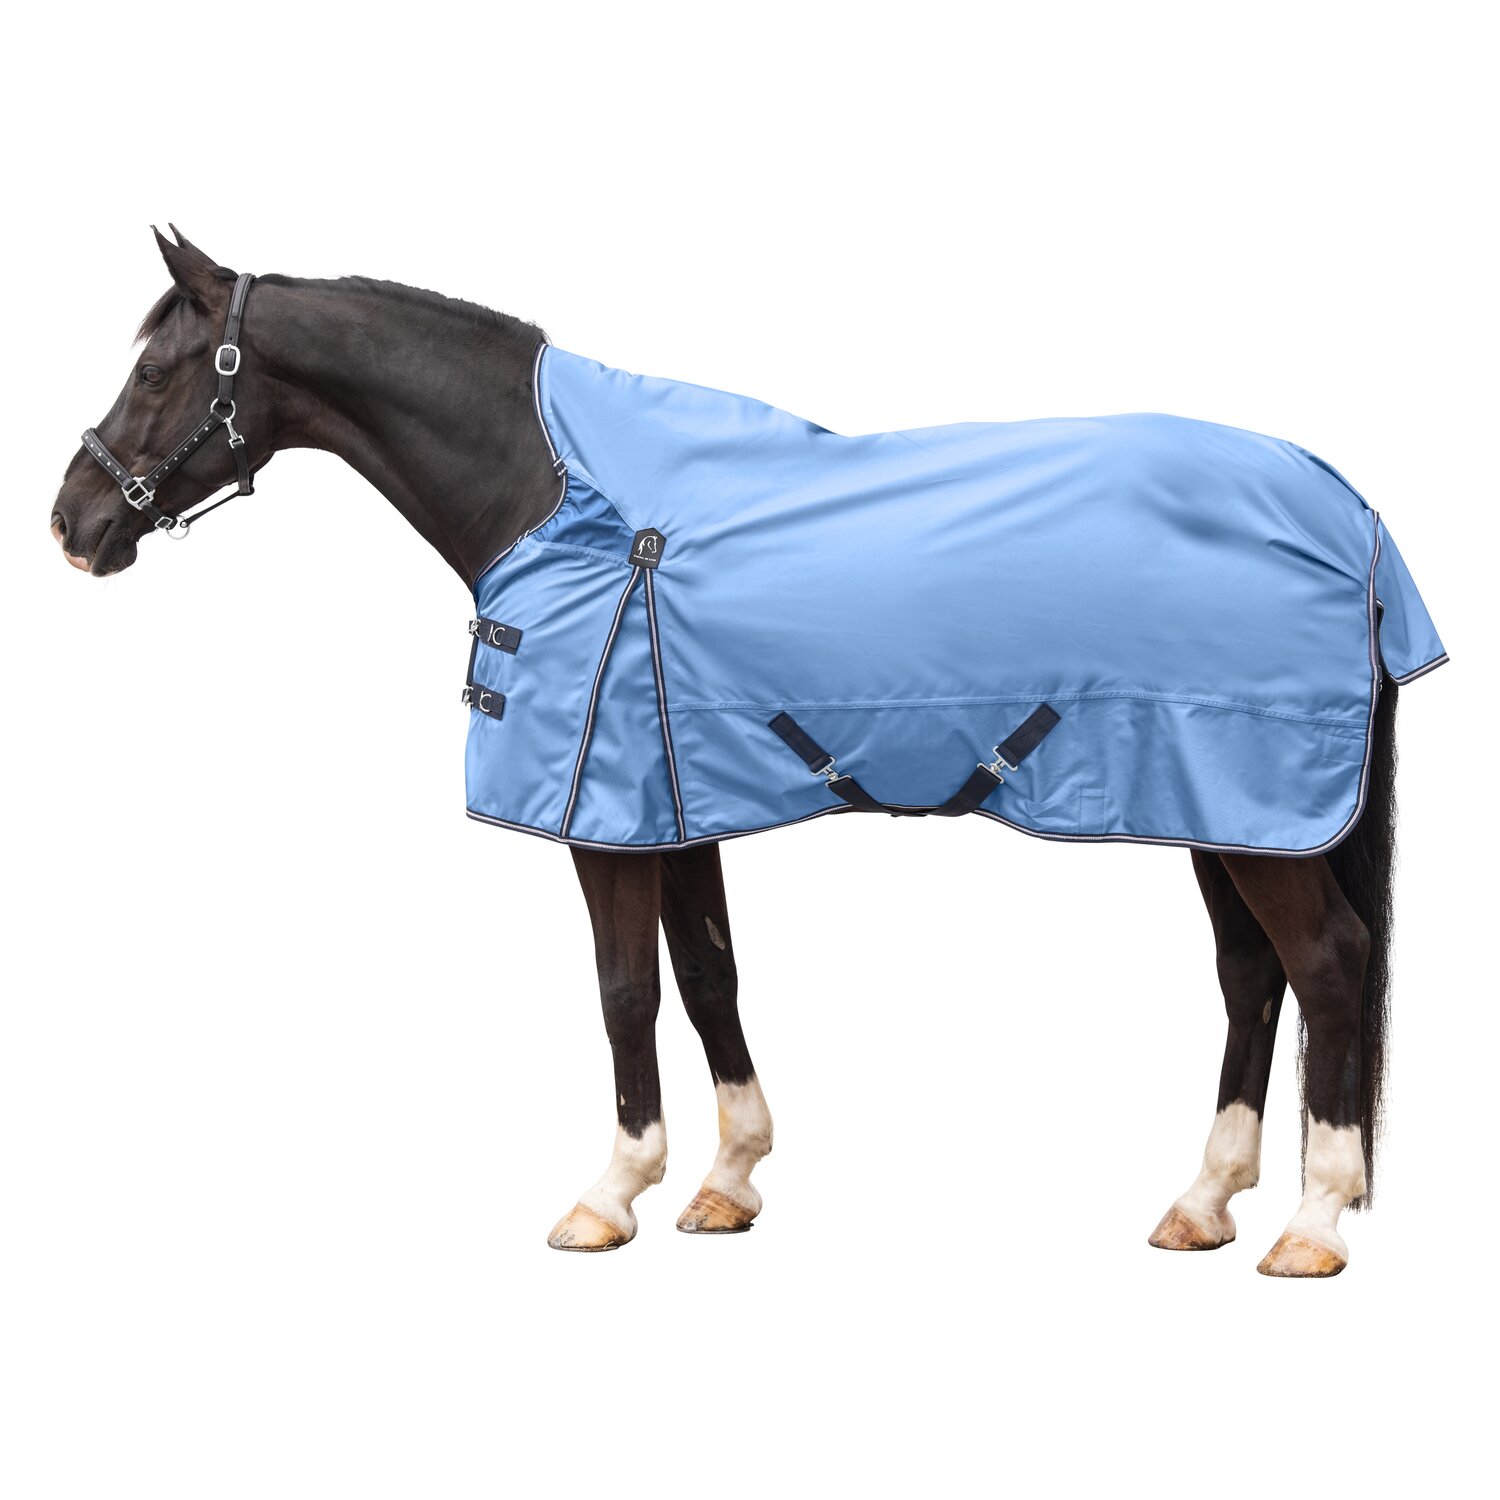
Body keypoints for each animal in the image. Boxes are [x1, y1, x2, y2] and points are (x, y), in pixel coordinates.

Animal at [49, 227, 1445, 1276]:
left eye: (160, 372)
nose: (71, 522)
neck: (561, 496)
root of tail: (1351, 511)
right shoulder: (671, 798)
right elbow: (710, 976)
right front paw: (727, 1180)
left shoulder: (604, 820)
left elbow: (624, 990)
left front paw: (609, 1195)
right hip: (1224, 808)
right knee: (1252, 976)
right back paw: (1203, 1204)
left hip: (1256, 807)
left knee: (1326, 964)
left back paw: (1313, 1223)